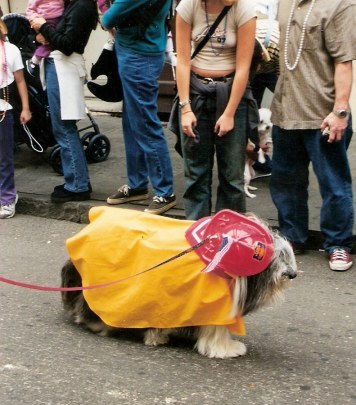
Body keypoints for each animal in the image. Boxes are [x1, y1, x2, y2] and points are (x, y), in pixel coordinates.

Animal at [59, 208, 298, 356]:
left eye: (287, 254)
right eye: (277, 257)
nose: (292, 274)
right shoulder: (217, 307)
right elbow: (216, 331)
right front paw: (226, 348)